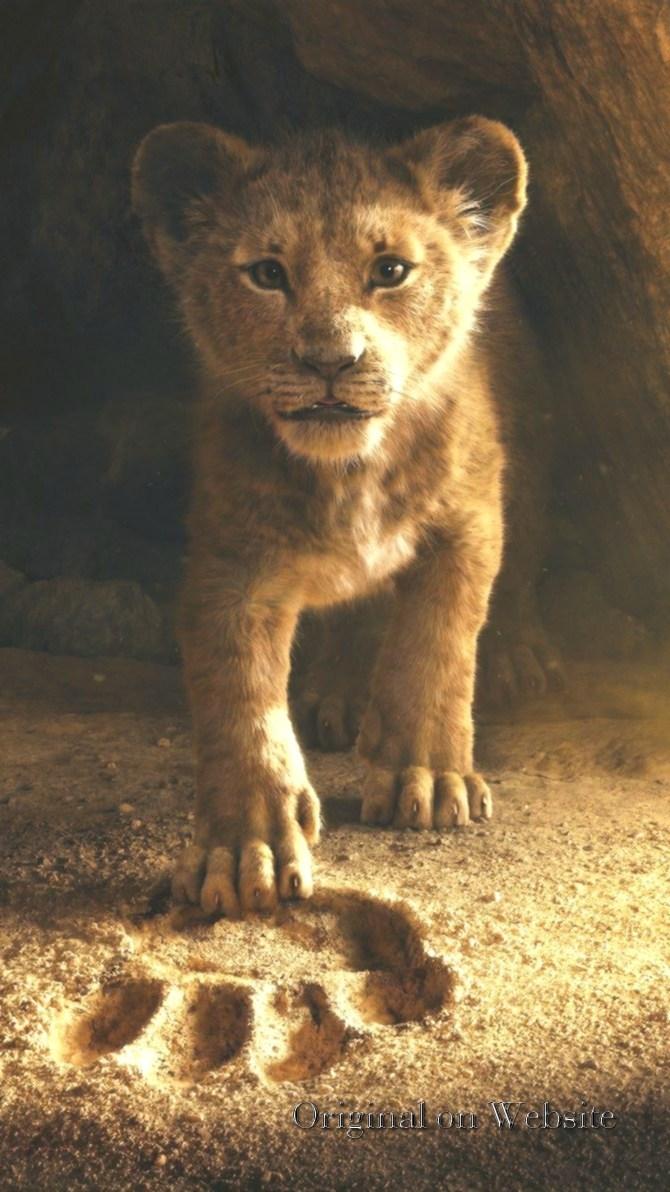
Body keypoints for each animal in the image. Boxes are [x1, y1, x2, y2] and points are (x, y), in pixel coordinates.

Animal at [132, 116, 560, 917]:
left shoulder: (467, 521)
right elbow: (238, 697)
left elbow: (437, 644)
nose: (330, 360)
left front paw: (428, 777)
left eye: (390, 270)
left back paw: (517, 656)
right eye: (267, 274)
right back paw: (339, 691)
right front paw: (245, 848)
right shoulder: (232, 562)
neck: (350, 471)